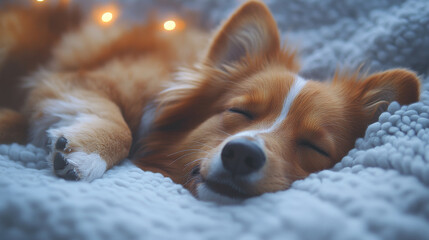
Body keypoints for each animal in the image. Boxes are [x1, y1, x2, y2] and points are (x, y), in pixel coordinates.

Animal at [0, 0, 418, 202]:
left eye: (314, 146)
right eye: (239, 111)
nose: (242, 155)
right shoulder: (75, 78)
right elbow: (119, 125)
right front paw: (87, 155)